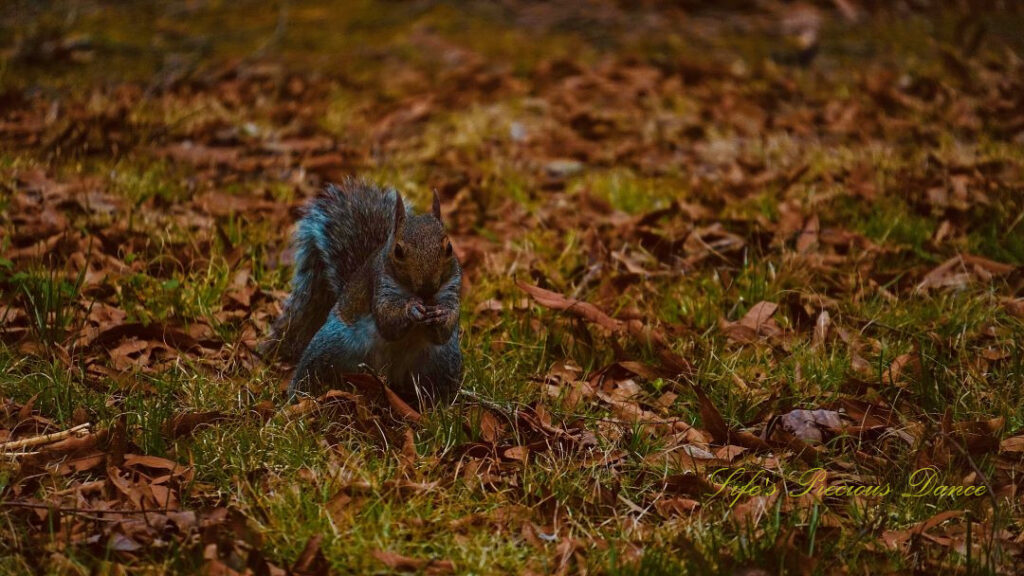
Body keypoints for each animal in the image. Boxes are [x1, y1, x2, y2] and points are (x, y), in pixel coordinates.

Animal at [266, 177, 466, 401]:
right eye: (398, 251)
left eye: (449, 248)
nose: (427, 287)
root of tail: (388, 374)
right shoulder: (379, 284)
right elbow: (387, 321)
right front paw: (411, 309)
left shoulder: (452, 287)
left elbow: (444, 332)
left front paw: (441, 314)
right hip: (330, 344)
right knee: (311, 370)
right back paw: (300, 394)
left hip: (443, 362)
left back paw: (440, 402)